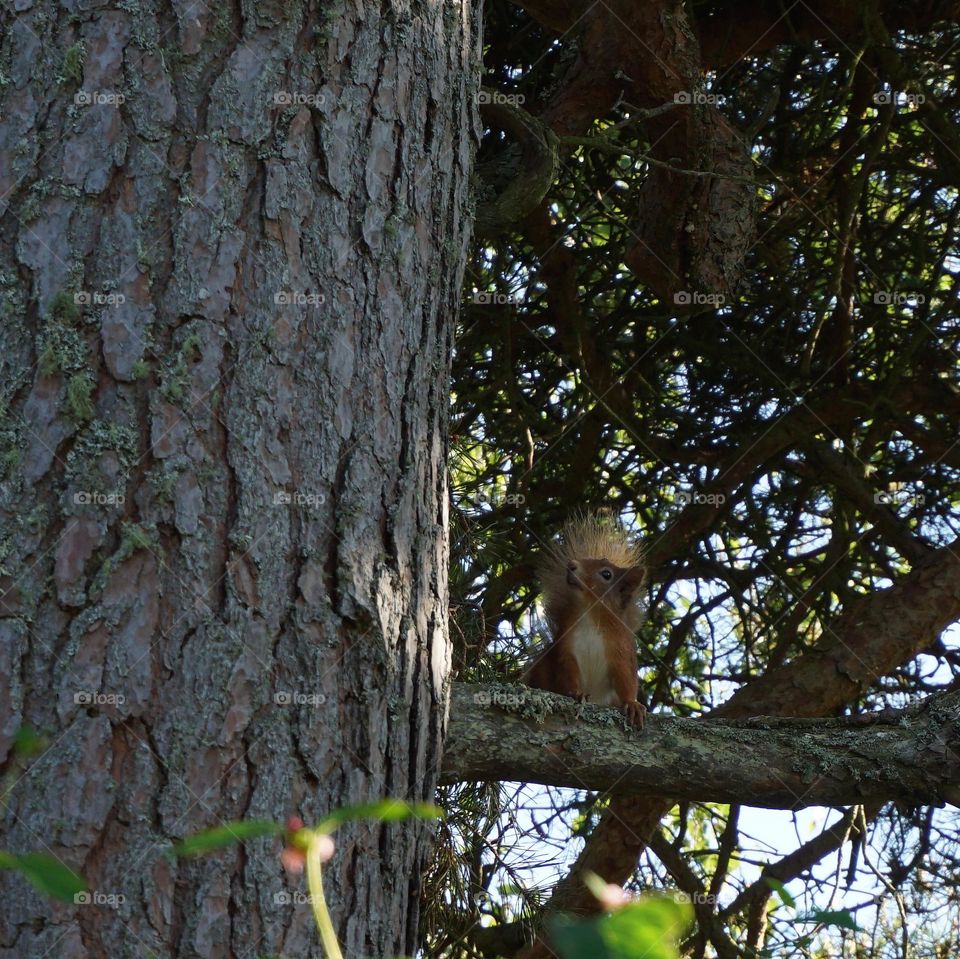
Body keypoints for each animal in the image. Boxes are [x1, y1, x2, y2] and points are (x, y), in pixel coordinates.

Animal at [523, 511, 648, 728]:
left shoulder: (622, 650)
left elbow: (626, 678)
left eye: (606, 574)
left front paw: (633, 704)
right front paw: (577, 693)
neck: (591, 615)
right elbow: (568, 671)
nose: (571, 565)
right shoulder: (566, 648)